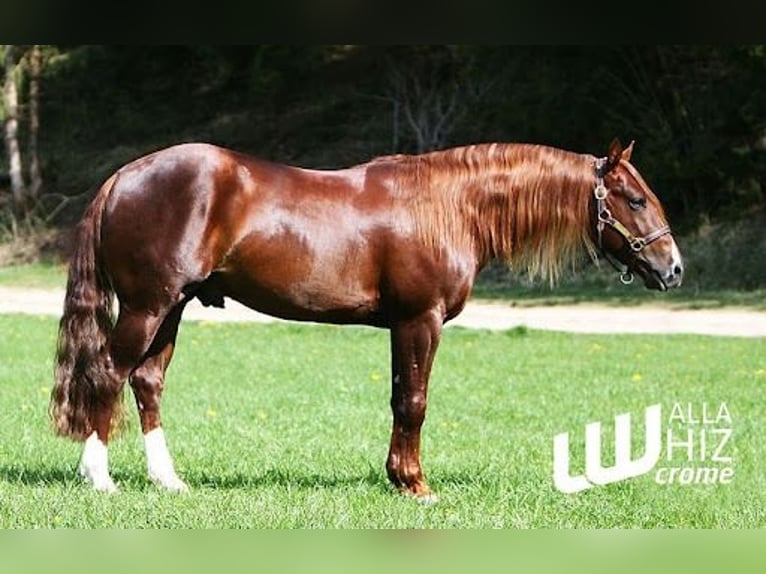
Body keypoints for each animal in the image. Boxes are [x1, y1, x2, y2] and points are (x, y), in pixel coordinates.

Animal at [49, 138, 684, 500]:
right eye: (634, 199)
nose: (673, 268)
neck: (446, 206)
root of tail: (124, 177)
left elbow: (403, 399)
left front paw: (400, 477)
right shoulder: (419, 320)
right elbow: (413, 402)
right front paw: (414, 484)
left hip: (172, 306)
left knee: (147, 381)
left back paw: (168, 481)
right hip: (147, 305)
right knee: (106, 375)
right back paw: (99, 479)